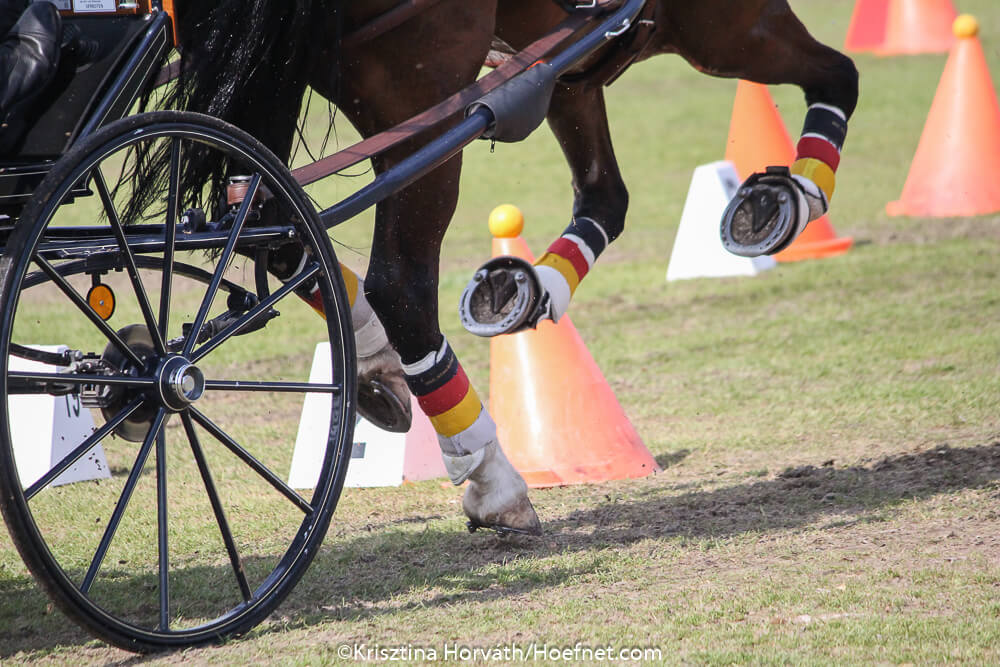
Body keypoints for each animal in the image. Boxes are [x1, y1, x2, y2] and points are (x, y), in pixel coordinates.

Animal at [162, 0, 860, 536]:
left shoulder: (569, 69)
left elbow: (604, 198)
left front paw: (524, 288)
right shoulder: (732, 22)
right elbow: (840, 77)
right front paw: (787, 196)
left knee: (266, 226)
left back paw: (380, 372)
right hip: (425, 92)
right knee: (398, 282)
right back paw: (494, 480)